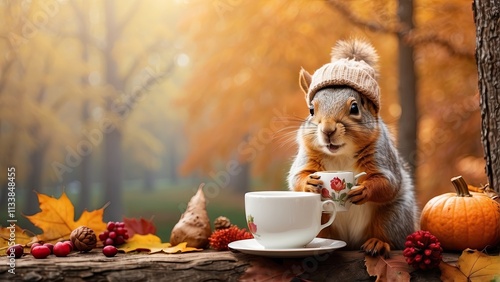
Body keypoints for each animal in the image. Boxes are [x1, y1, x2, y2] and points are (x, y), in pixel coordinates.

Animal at [290, 38, 418, 256]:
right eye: (311, 110)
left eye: (355, 107)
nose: (328, 130)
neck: (341, 154)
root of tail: (351, 243)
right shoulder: (307, 155)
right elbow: (296, 177)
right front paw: (309, 183)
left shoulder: (381, 155)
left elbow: (388, 182)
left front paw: (364, 189)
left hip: (395, 215)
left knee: (389, 234)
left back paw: (377, 243)